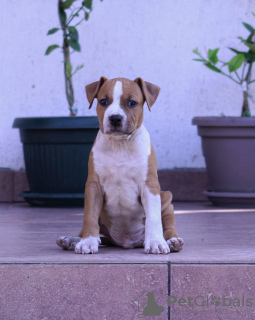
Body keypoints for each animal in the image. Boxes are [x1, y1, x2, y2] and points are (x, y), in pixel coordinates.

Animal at [56, 77, 183, 255]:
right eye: (103, 101)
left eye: (132, 103)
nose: (115, 118)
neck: (120, 145)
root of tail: (127, 242)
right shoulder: (93, 186)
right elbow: (89, 216)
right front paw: (87, 242)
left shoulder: (150, 185)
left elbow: (153, 217)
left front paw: (156, 242)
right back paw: (71, 240)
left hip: (167, 200)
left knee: (168, 226)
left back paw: (172, 241)